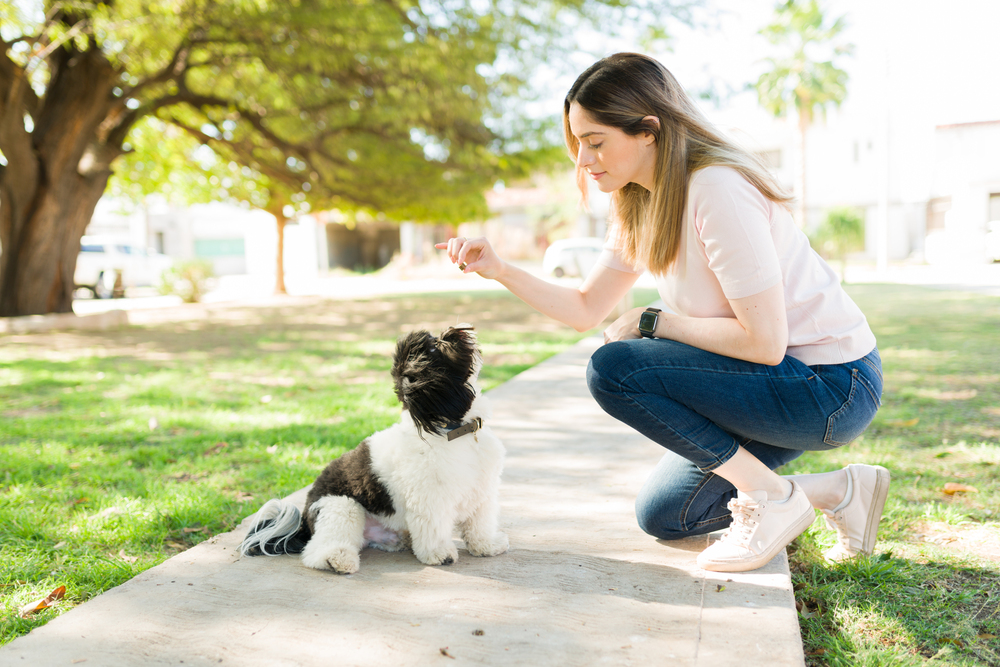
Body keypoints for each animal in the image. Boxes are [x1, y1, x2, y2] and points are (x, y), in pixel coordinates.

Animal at [237, 324, 508, 576]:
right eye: (437, 346)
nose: (455, 330)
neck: (455, 432)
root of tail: (304, 519)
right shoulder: (430, 498)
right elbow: (434, 529)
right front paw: (440, 554)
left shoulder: (481, 492)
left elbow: (480, 524)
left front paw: (486, 545)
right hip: (342, 508)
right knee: (318, 549)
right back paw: (336, 560)